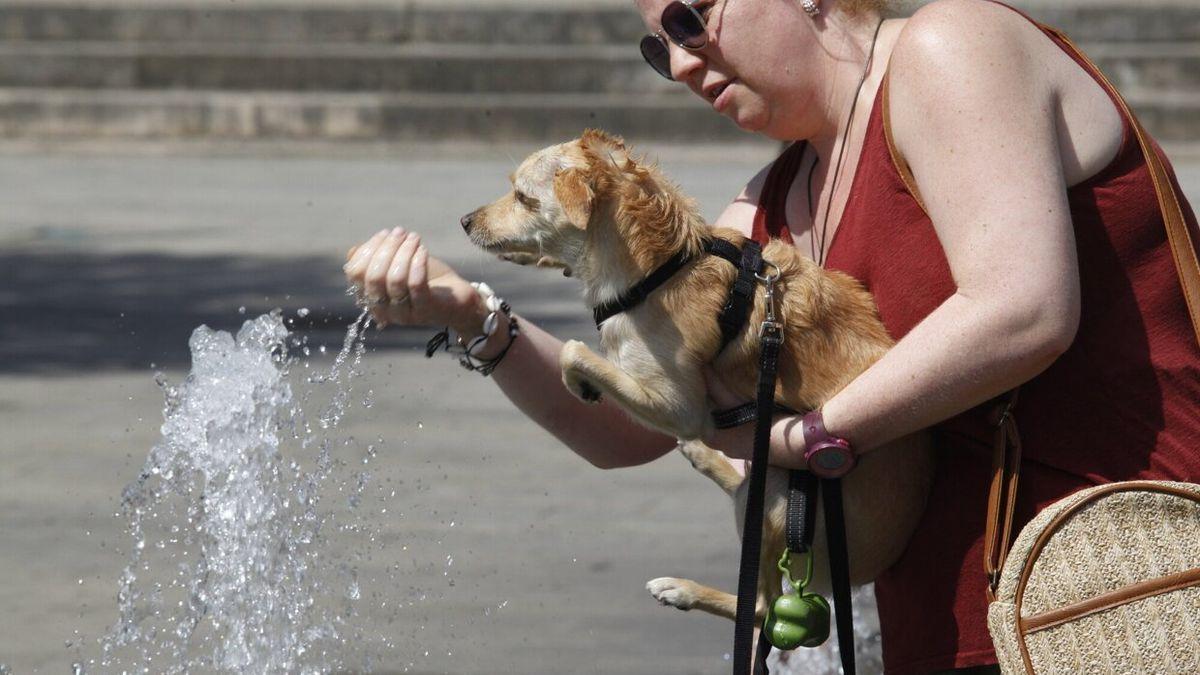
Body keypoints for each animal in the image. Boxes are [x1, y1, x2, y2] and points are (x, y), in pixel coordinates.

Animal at [458, 130, 936, 619]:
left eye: (522, 197)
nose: (464, 220)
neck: (663, 266)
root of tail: (862, 574)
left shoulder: (680, 406)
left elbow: (574, 352)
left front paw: (580, 383)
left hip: (778, 494)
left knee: (760, 606)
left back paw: (683, 588)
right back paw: (706, 460)